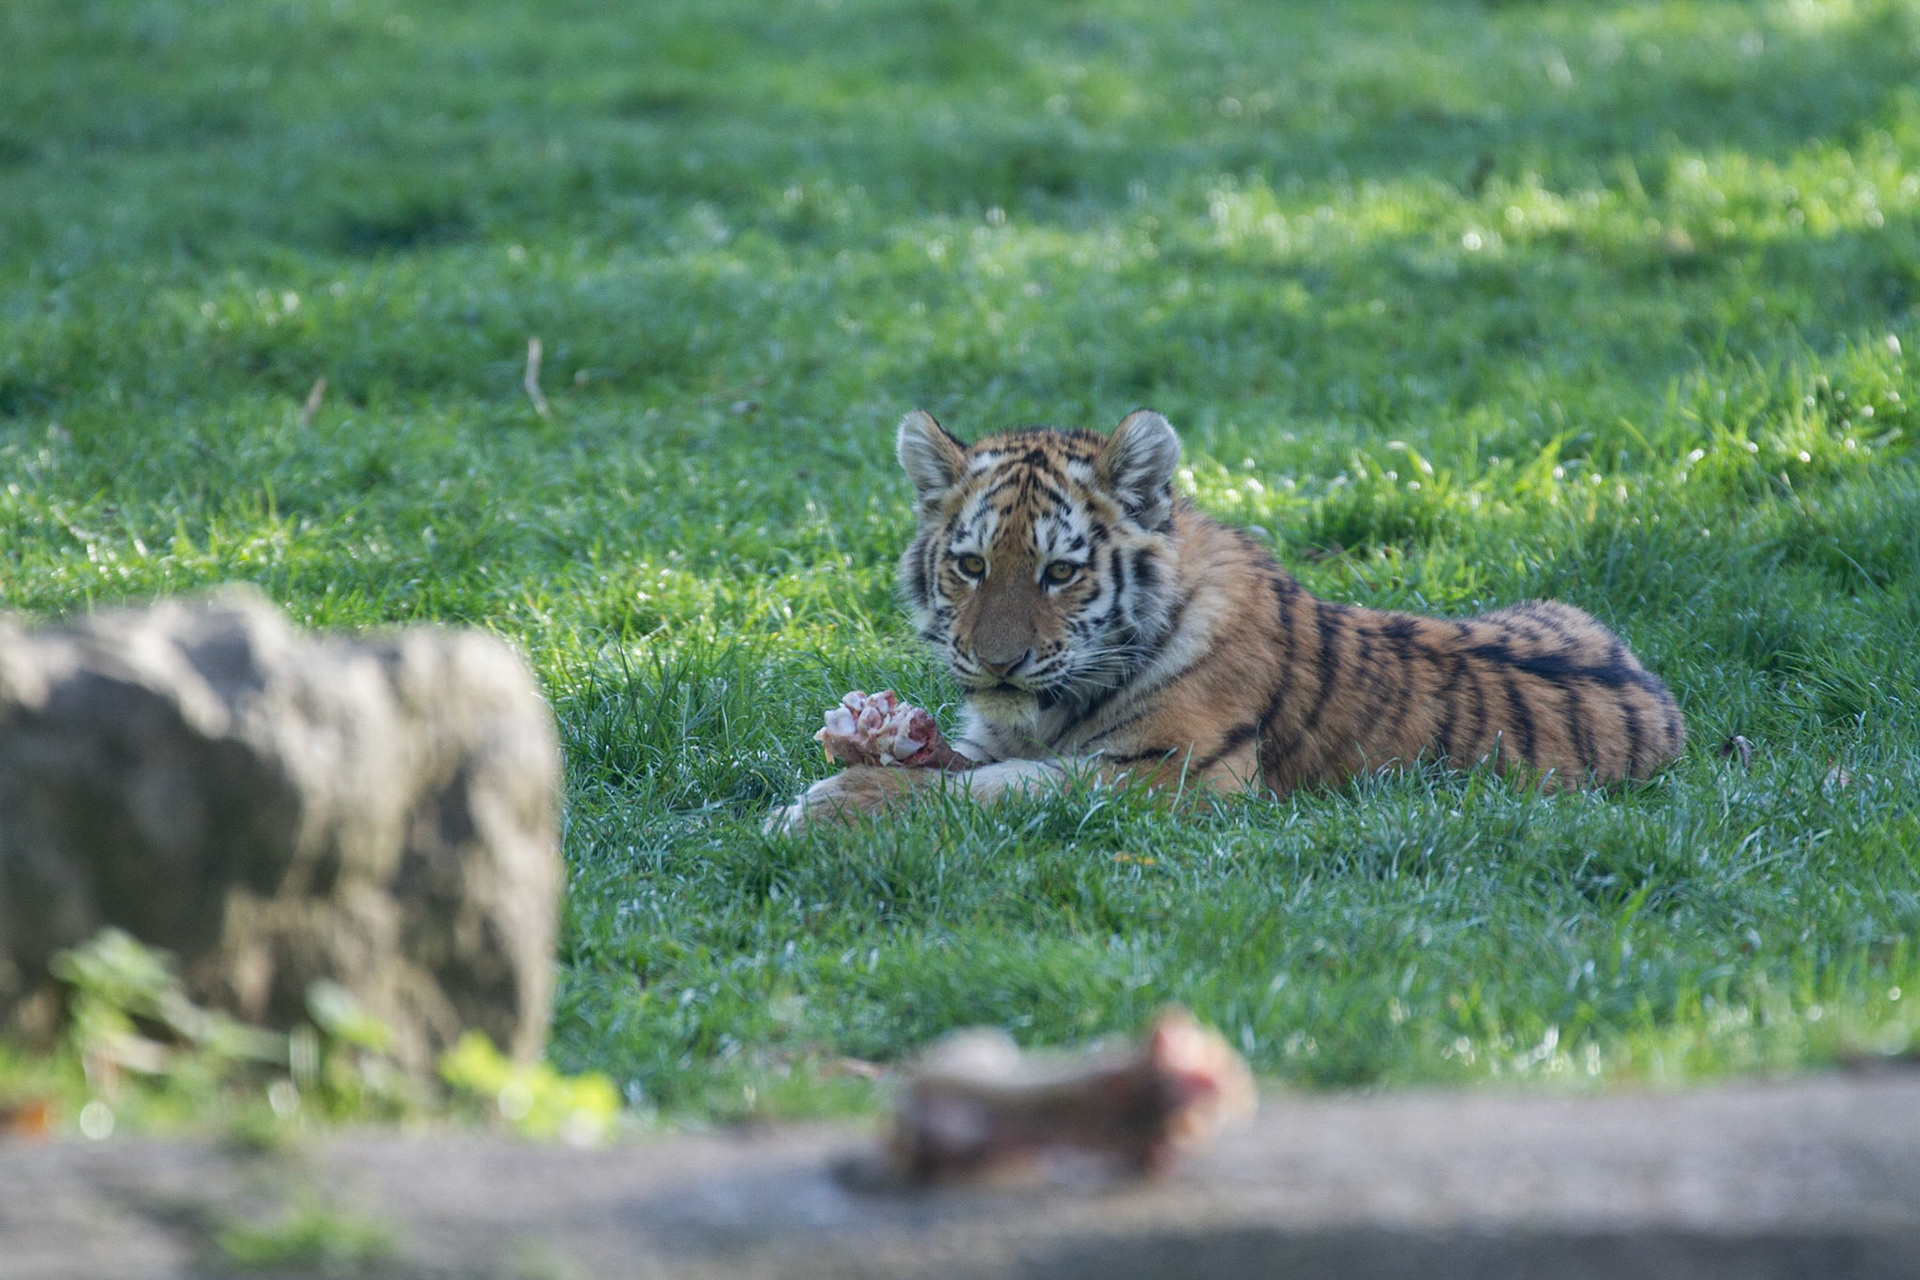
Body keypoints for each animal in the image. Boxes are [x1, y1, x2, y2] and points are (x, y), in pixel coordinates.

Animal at [770, 409, 1685, 832]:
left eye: (1060, 572)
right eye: (970, 566)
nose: (996, 663)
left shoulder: (1180, 774)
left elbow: (1004, 788)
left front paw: (824, 803)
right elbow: (970, 769)